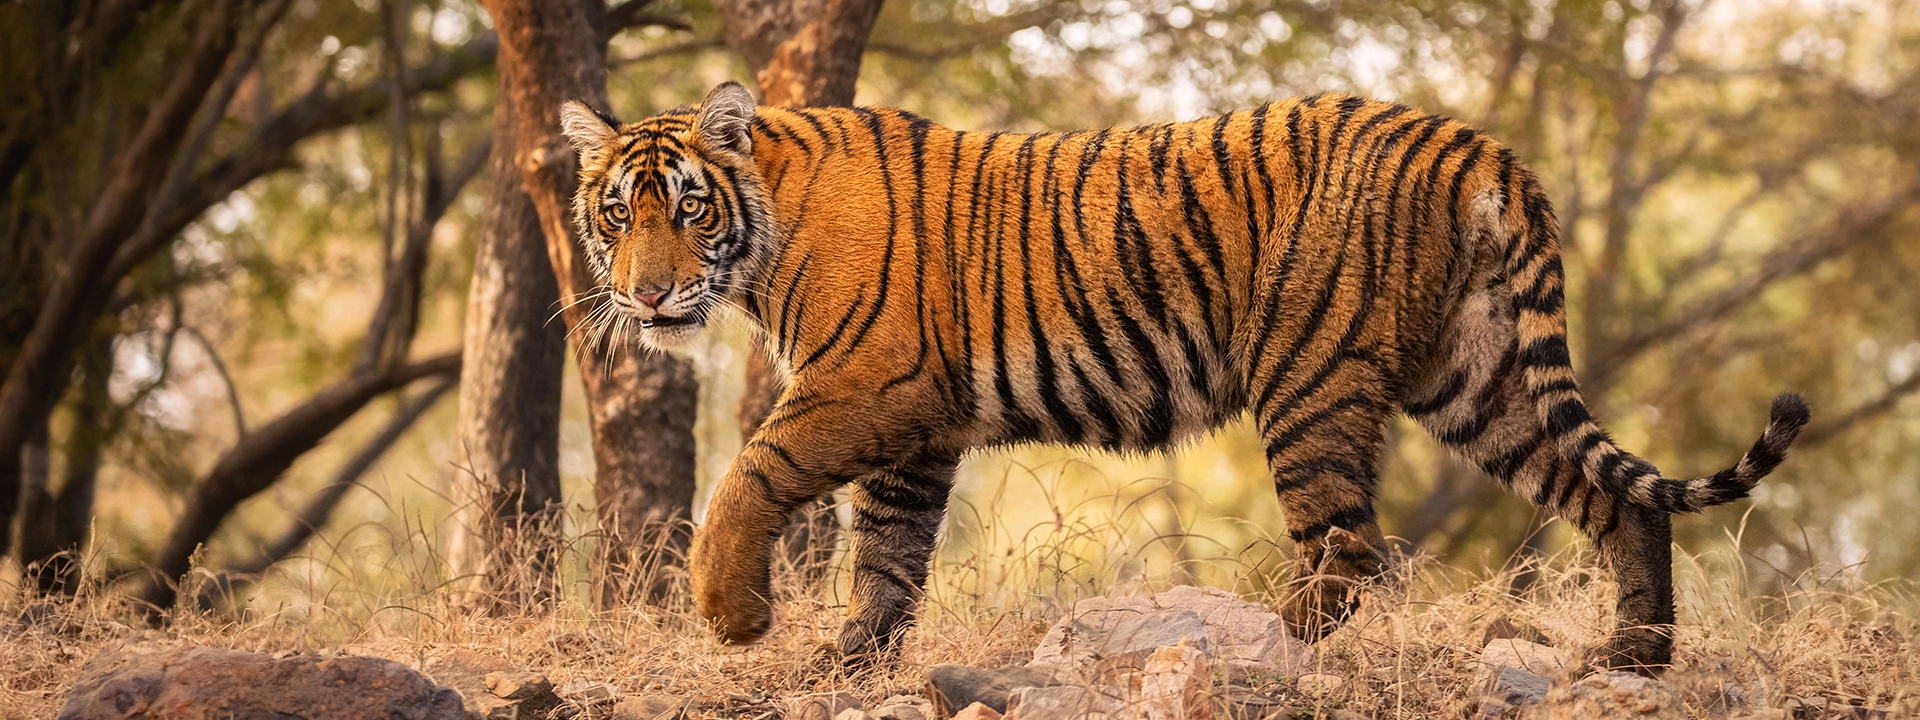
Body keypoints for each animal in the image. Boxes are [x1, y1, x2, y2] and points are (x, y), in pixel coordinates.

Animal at [560, 81, 1812, 675]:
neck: (761, 238)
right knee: (1616, 503)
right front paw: (845, 665)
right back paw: (1635, 659)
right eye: (617, 215)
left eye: (688, 209)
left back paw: (1244, 644)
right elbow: (888, 561)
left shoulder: (870, 384)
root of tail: (1478, 145)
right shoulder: (920, 431)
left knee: (1348, 551)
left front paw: (733, 618)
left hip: (1309, 375)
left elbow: (750, 474)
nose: (649, 297)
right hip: (1481, 377)